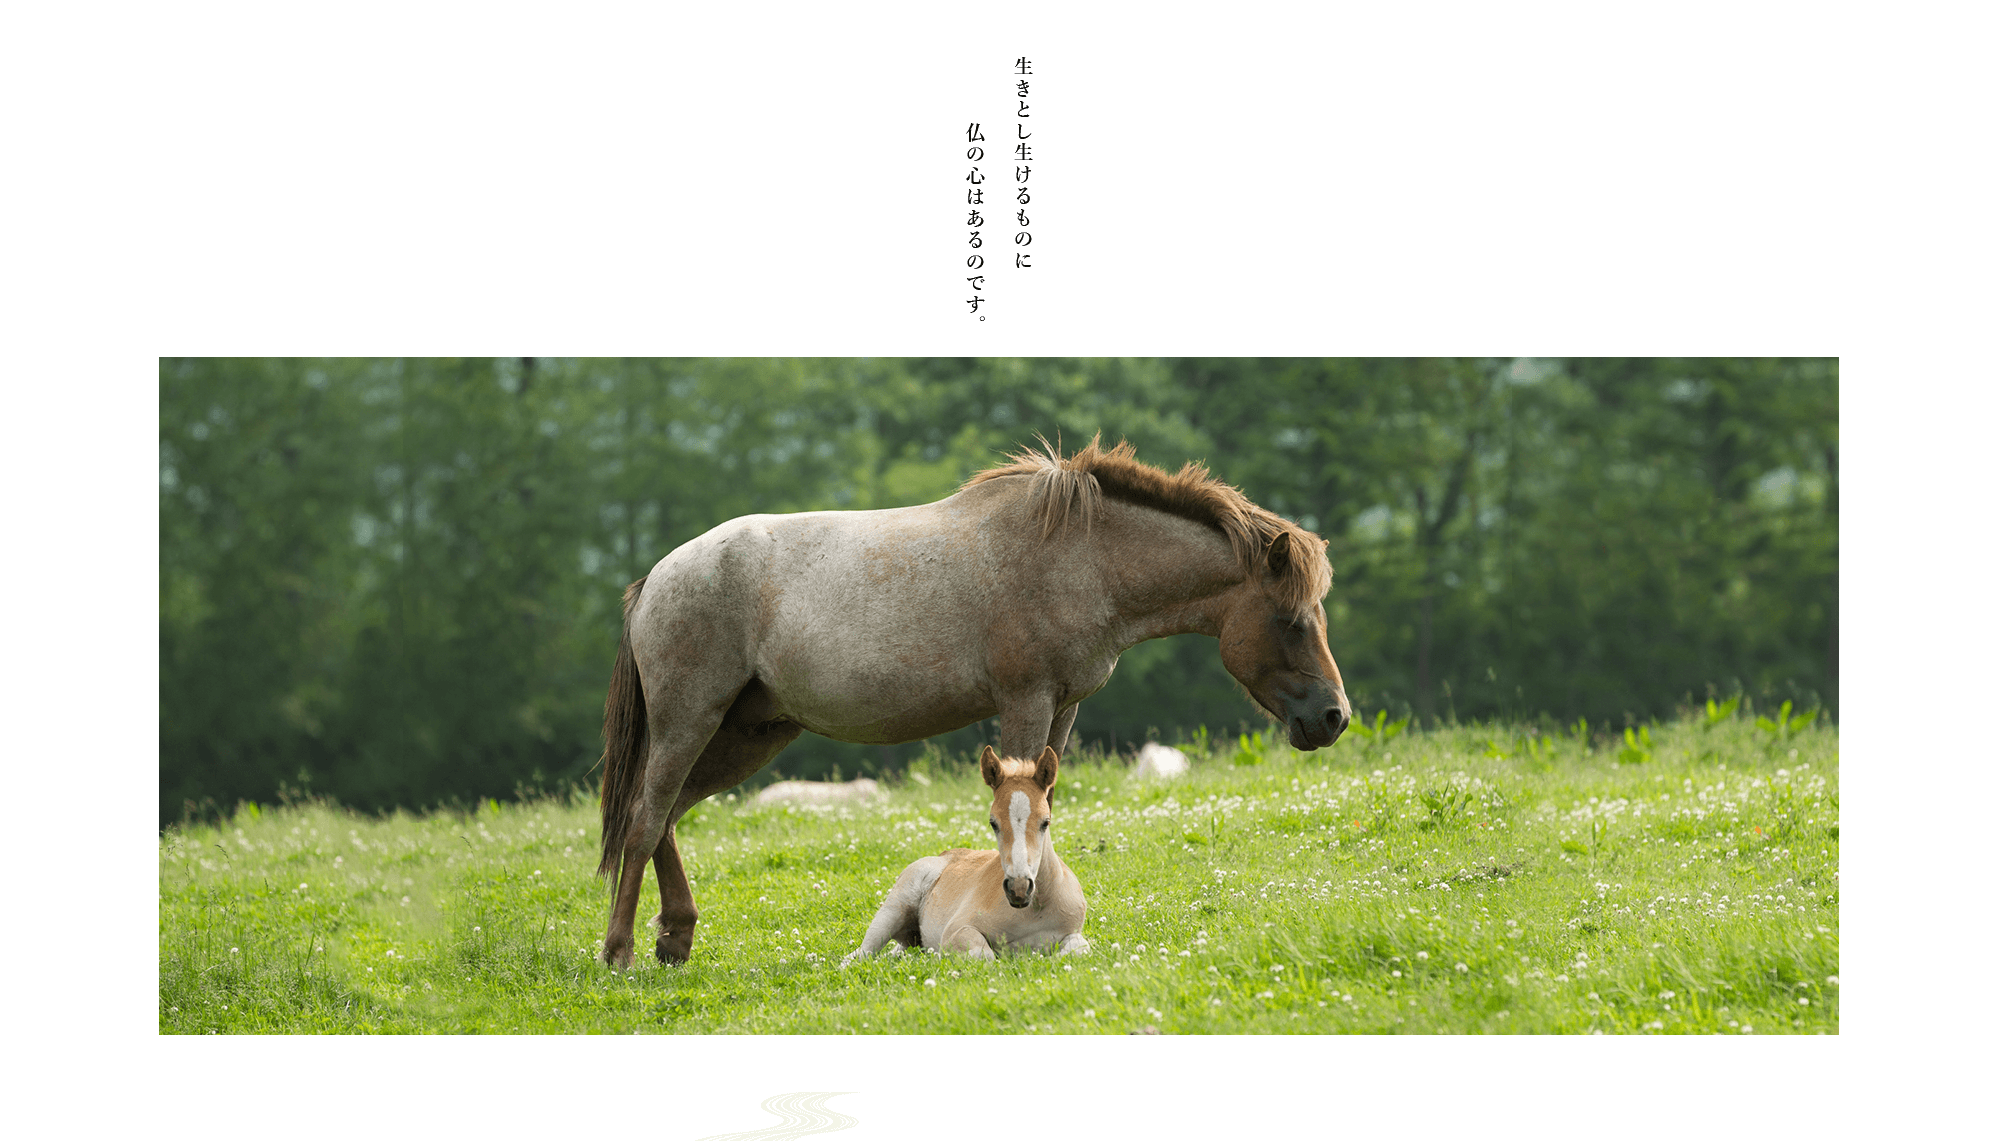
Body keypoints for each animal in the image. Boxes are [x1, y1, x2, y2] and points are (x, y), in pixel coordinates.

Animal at [844, 740, 1096, 964]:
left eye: (1045, 822)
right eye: (993, 823)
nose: (1019, 888)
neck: (1033, 910)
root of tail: (944, 855)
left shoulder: (1073, 934)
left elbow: (1077, 950)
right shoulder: (957, 929)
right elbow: (985, 956)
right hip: (893, 910)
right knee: (857, 957)